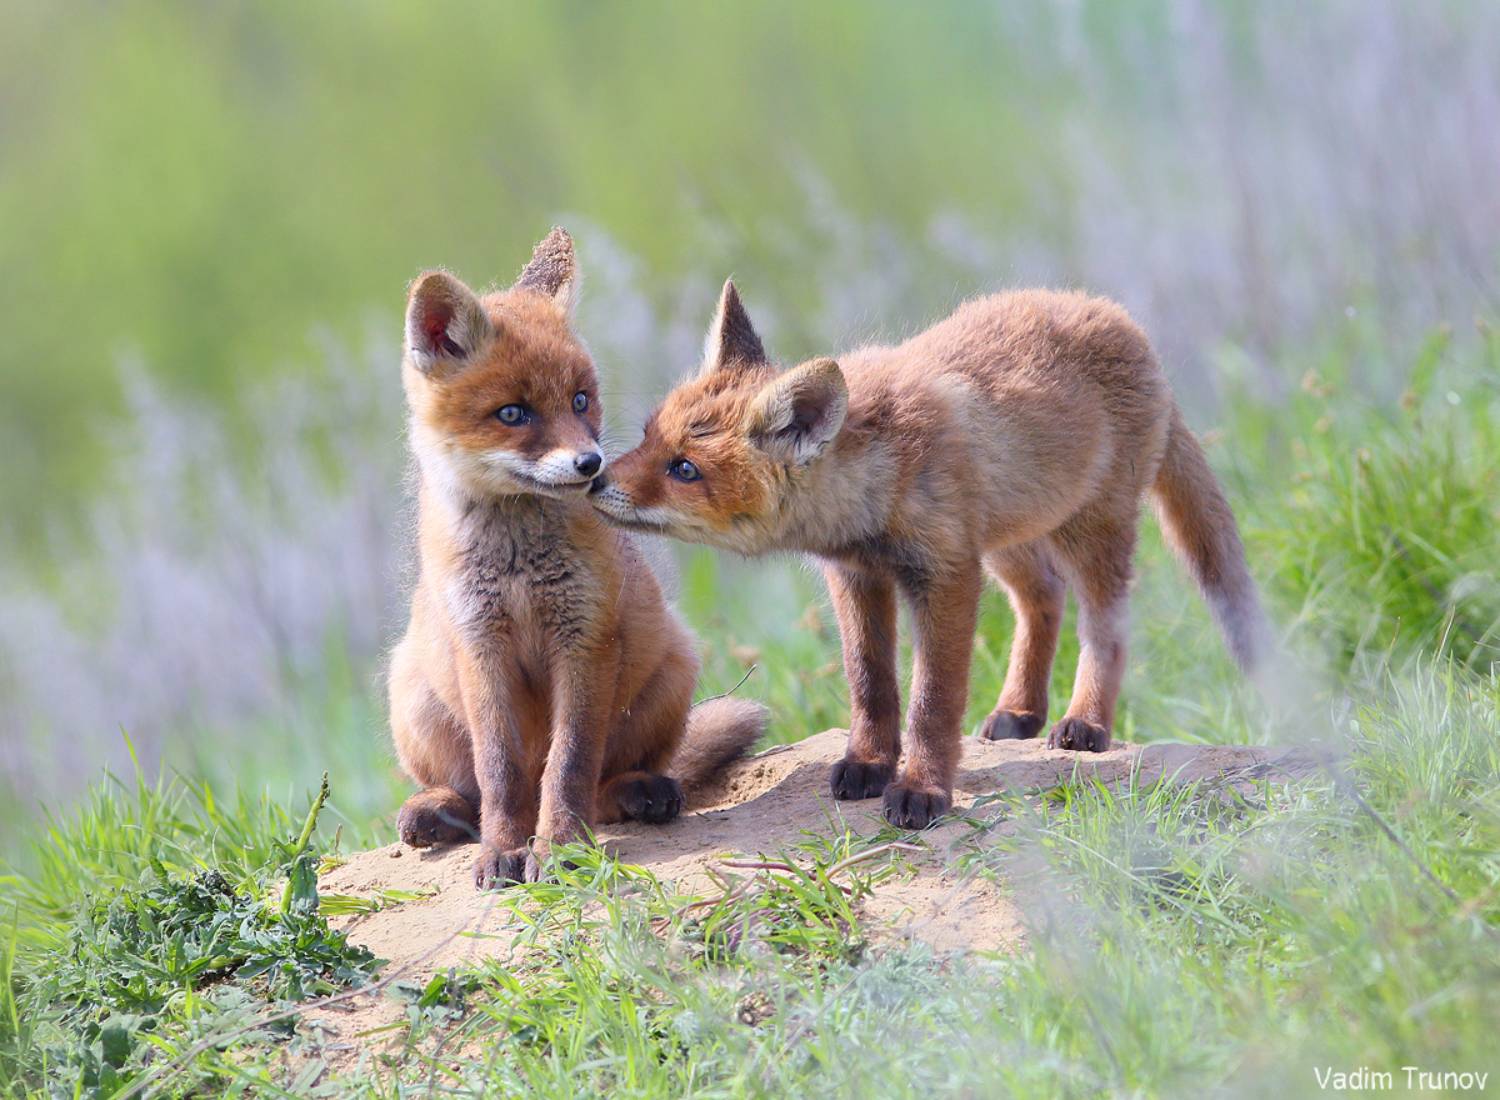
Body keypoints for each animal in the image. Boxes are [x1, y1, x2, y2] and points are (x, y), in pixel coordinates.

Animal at [387, 230, 768, 889]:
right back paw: (437, 811)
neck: (518, 565)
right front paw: (503, 850)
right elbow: (501, 773)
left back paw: (640, 793)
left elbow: (567, 767)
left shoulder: (586, 639)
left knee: (605, 788)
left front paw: (560, 851)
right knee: (469, 791)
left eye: (581, 399)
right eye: (513, 413)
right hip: (410, 692)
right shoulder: (480, 643)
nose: (591, 466)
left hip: (674, 666)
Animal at [590, 280, 1268, 830]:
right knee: (1043, 600)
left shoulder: (944, 575)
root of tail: (1123, 321)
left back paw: (1086, 723)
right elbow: (871, 684)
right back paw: (1021, 710)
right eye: (648, 436)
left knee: (1105, 626)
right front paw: (868, 763)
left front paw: (921, 789)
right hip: (1008, 540)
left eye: (684, 469)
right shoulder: (859, 576)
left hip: (1089, 531)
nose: (593, 478)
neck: (875, 490)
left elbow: (931, 702)